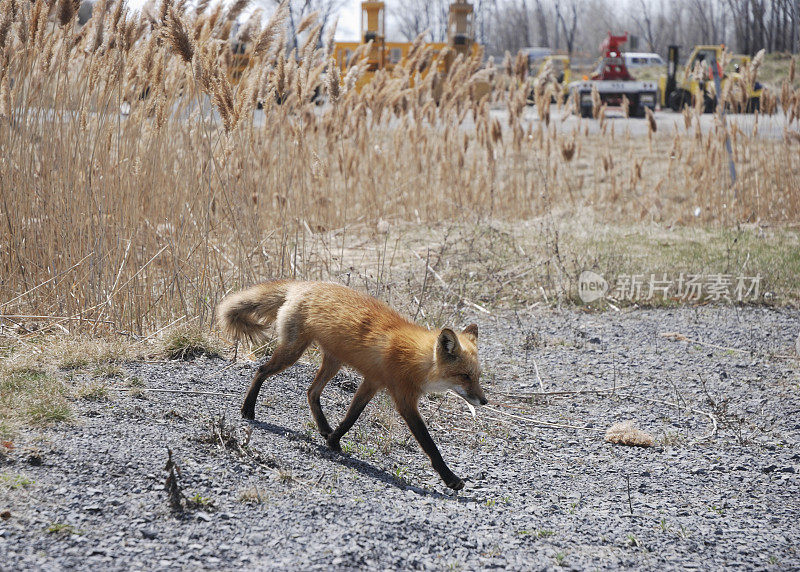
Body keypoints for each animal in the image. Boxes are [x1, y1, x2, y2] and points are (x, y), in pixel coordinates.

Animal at [216, 280, 484, 490]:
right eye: (464, 376)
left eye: (478, 377)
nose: (484, 401)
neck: (415, 359)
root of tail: (305, 284)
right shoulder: (404, 399)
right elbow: (429, 443)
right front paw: (450, 478)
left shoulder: (372, 382)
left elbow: (351, 417)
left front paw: (334, 440)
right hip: (292, 354)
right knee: (261, 370)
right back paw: (248, 409)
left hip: (333, 362)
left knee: (311, 392)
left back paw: (324, 428)